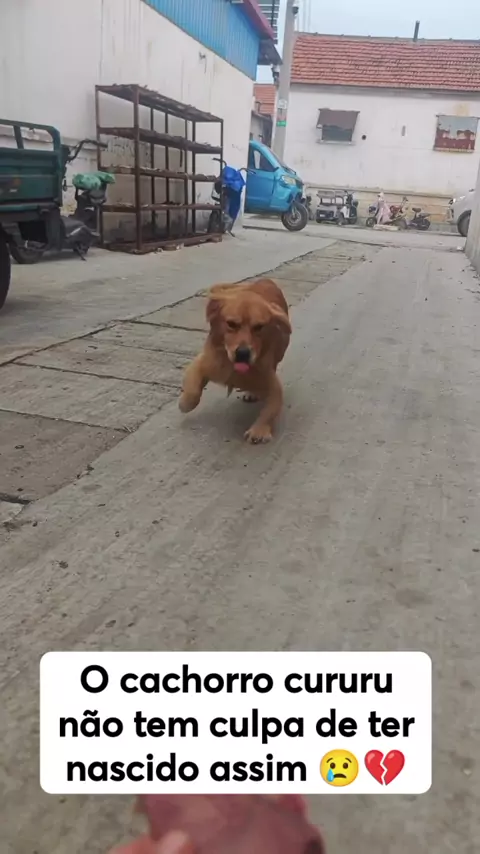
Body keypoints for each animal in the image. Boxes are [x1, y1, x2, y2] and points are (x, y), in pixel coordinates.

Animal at [179, 278, 291, 443]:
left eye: (259, 327)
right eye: (231, 324)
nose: (243, 353)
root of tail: (265, 280)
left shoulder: (271, 382)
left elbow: (271, 409)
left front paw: (259, 430)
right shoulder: (205, 362)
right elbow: (193, 389)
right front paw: (185, 403)